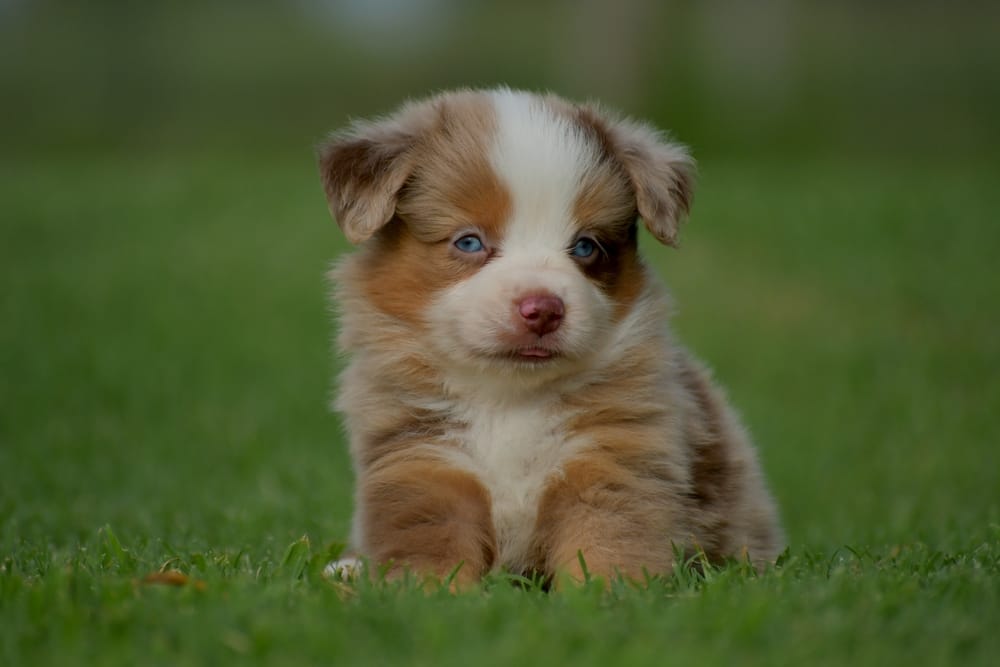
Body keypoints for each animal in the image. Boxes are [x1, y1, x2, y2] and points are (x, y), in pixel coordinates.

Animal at [318, 90, 780, 588]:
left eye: (586, 246)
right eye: (469, 242)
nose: (542, 309)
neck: (509, 398)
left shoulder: (611, 459)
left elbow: (606, 544)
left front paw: (608, 594)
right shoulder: (424, 461)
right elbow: (431, 548)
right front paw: (429, 592)